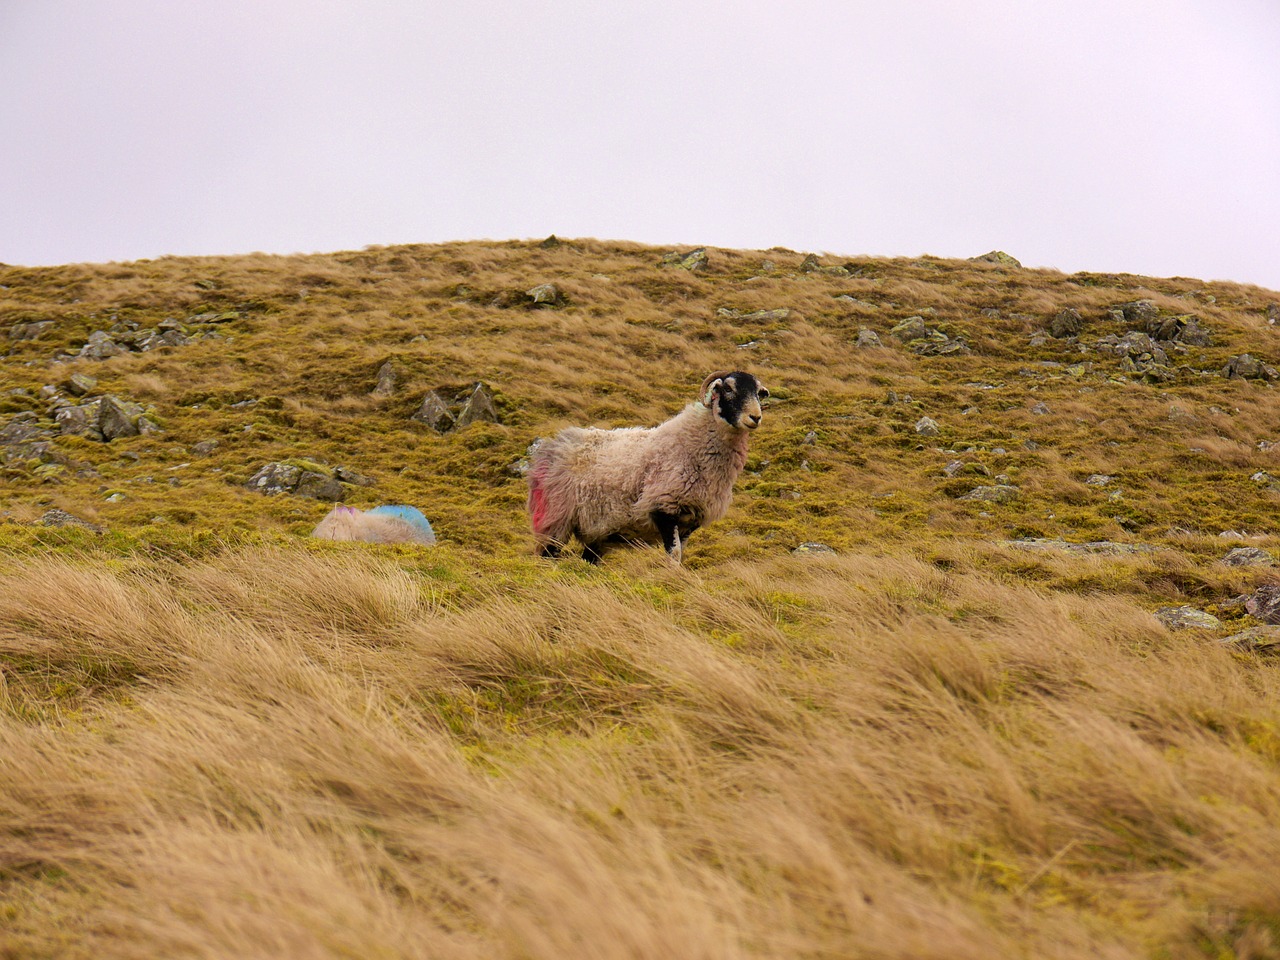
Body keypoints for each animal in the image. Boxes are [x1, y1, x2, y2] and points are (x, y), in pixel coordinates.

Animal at [522, 368, 762, 563]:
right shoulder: (663, 506)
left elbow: (681, 554)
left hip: (595, 528)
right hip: (555, 517)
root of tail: (554, 445)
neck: (692, 442)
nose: (755, 417)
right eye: (728, 389)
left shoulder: (691, 518)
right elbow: (674, 554)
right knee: (548, 556)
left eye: (759, 393)